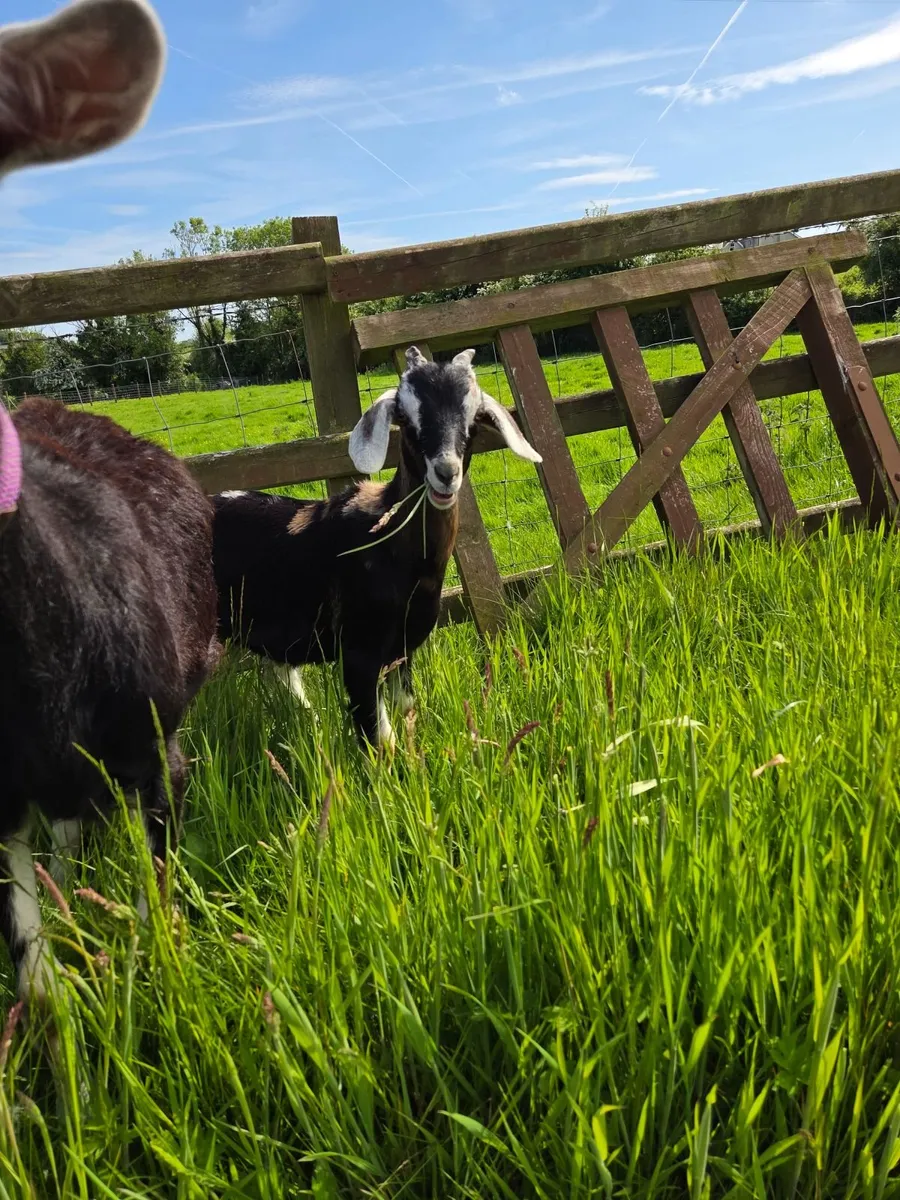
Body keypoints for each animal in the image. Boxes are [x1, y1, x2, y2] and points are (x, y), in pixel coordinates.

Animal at [213, 346, 541, 748]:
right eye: (408, 421)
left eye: (474, 423)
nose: (446, 473)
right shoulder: (359, 653)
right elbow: (380, 739)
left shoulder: (404, 649)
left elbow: (406, 711)